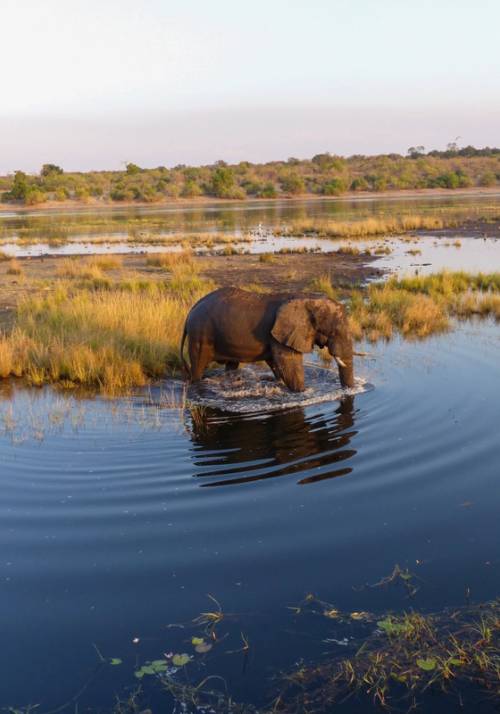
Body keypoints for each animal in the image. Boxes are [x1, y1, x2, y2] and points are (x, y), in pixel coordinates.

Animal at [180, 287, 354, 392]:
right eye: (334, 332)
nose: (348, 391)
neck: (308, 299)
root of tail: (189, 313)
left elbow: (278, 366)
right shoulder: (281, 334)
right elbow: (289, 367)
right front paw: (303, 392)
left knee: (231, 365)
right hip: (200, 333)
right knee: (198, 367)